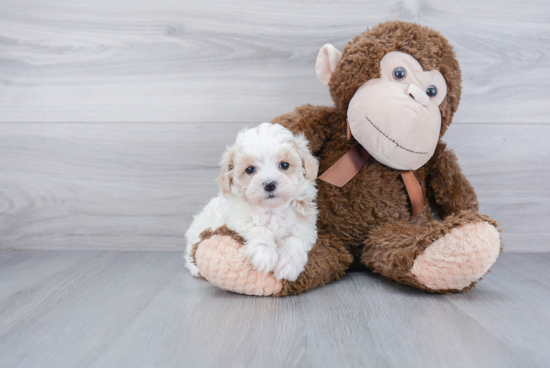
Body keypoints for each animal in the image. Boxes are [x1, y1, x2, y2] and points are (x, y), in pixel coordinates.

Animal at [187, 123, 320, 282]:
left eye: (284, 165)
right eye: (250, 169)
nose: (269, 184)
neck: (271, 209)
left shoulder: (305, 227)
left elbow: (294, 240)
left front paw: (288, 264)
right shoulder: (236, 219)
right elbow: (258, 228)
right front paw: (264, 254)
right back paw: (195, 268)